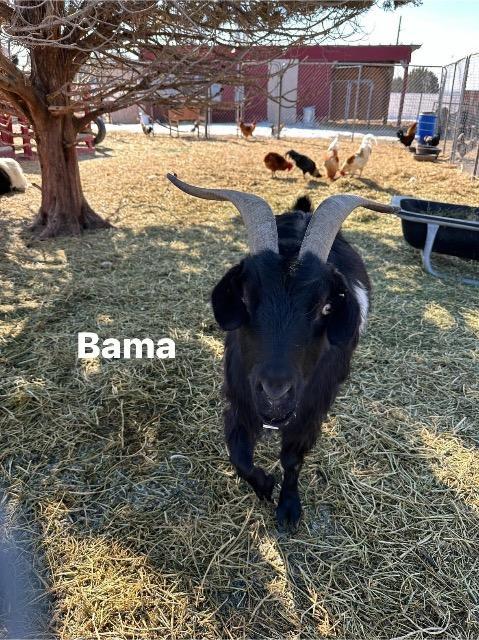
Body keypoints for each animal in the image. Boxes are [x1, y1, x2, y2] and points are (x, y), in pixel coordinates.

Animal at [166, 173, 398, 528]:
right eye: (245, 298)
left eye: (325, 306)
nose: (275, 390)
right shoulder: (239, 395)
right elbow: (237, 453)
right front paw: (264, 484)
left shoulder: (311, 410)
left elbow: (292, 459)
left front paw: (288, 508)